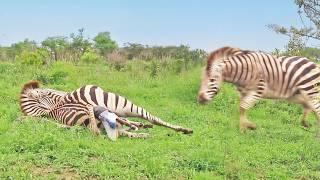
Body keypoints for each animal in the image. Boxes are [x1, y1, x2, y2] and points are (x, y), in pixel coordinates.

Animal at [20, 80, 192, 141]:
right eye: (48, 93)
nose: (65, 93)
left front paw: (137, 126)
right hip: (124, 105)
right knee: (152, 118)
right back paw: (184, 130)